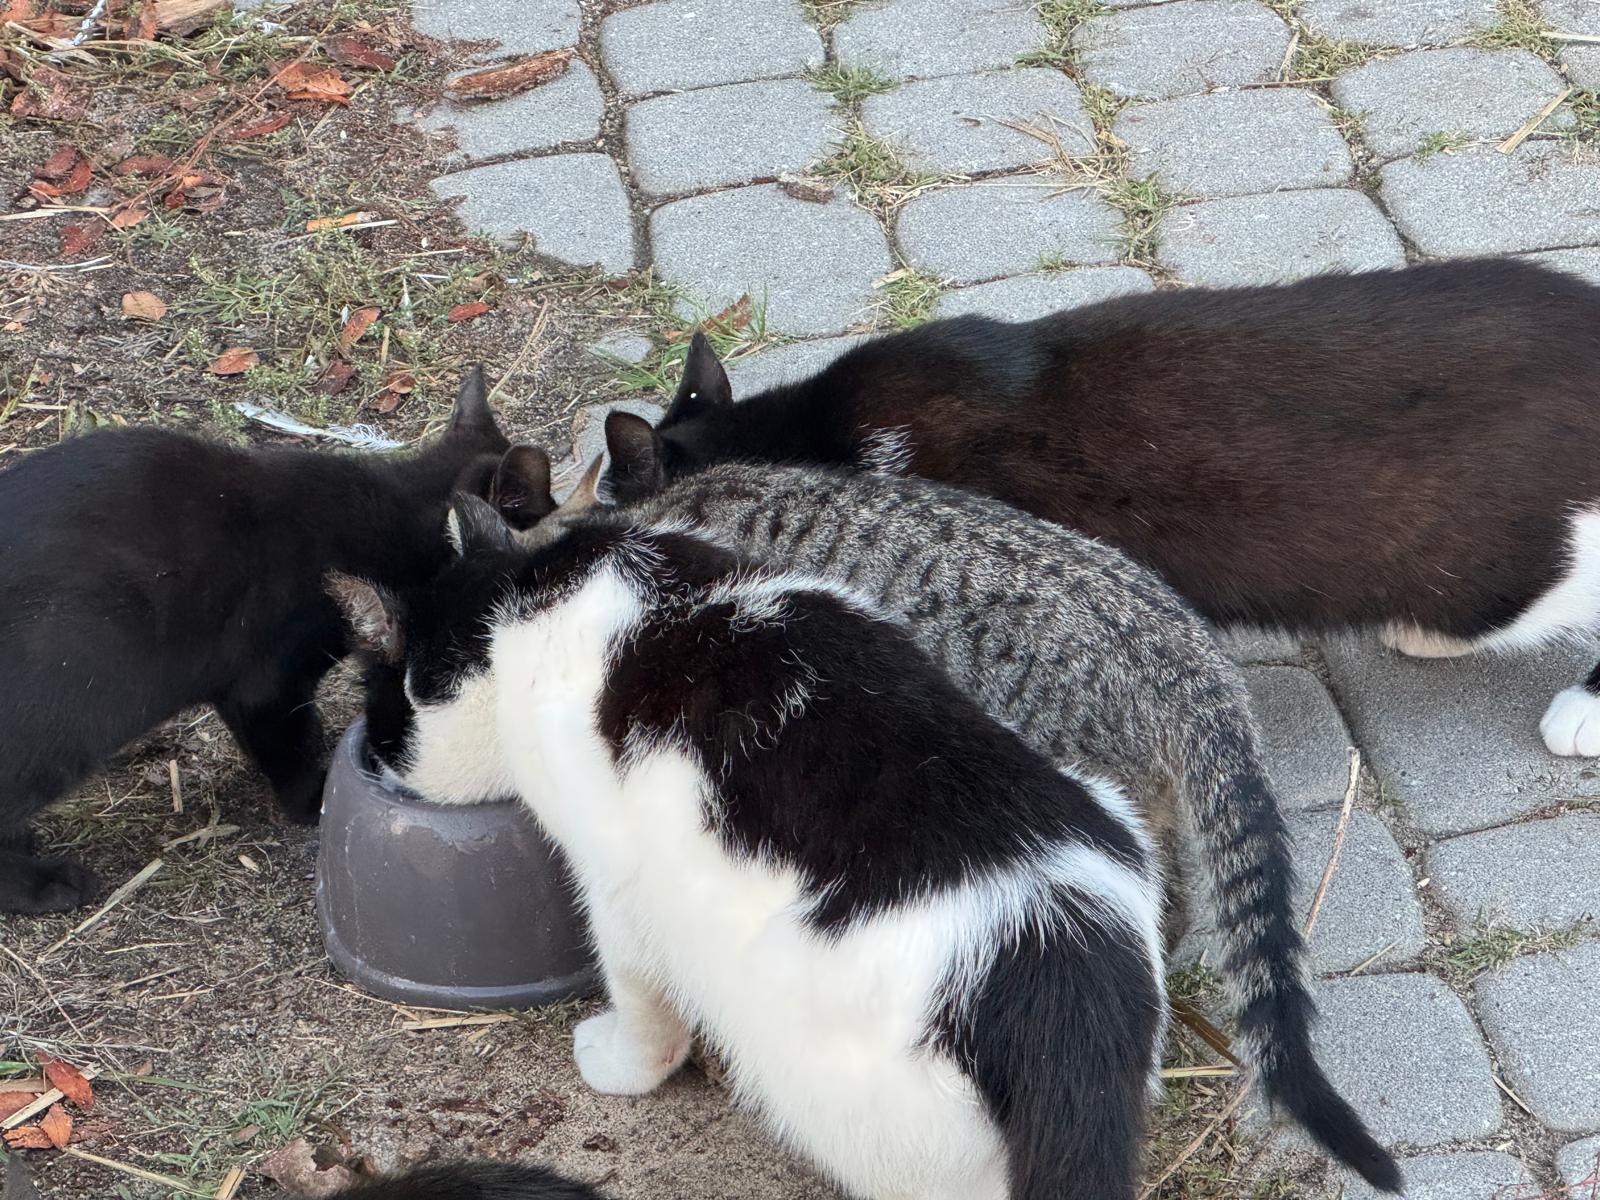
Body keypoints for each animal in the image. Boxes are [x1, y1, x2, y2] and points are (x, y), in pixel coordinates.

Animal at [333, 502, 1172, 1200]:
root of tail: (1056, 959)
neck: (525, 595)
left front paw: (622, 1064)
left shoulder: (619, 885)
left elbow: (641, 998)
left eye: (382, 715)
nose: (375, 758)